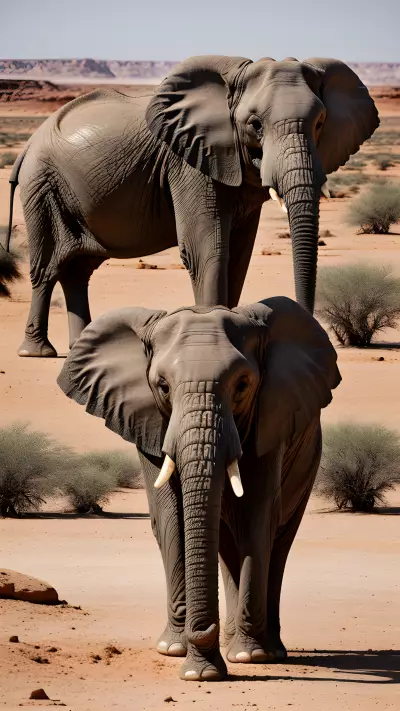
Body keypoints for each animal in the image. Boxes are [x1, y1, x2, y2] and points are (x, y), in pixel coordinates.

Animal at [5, 55, 378, 357]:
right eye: (255, 125)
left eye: (320, 123)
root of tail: (27, 148)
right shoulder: (188, 160)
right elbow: (208, 249)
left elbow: (238, 256)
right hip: (42, 186)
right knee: (47, 268)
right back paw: (37, 352)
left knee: (78, 270)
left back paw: (80, 349)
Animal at [57, 295, 341, 681]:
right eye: (163, 386)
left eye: (243, 385)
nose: (203, 635)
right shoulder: (150, 421)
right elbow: (170, 518)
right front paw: (180, 654)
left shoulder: (271, 417)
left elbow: (257, 517)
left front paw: (245, 657)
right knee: (225, 541)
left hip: (308, 455)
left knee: (279, 539)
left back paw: (265, 650)